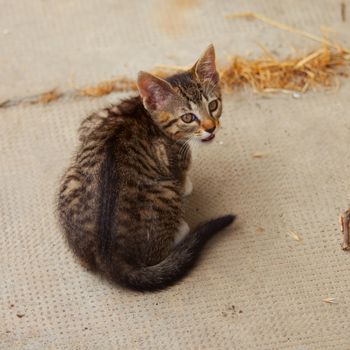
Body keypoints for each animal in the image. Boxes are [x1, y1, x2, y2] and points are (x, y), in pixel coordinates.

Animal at [58, 45, 235, 292]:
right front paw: (187, 184)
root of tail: (110, 258)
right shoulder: (172, 155)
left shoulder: (91, 123)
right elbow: (182, 172)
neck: (142, 110)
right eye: (187, 117)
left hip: (70, 178)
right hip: (166, 191)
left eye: (213, 105)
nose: (211, 128)